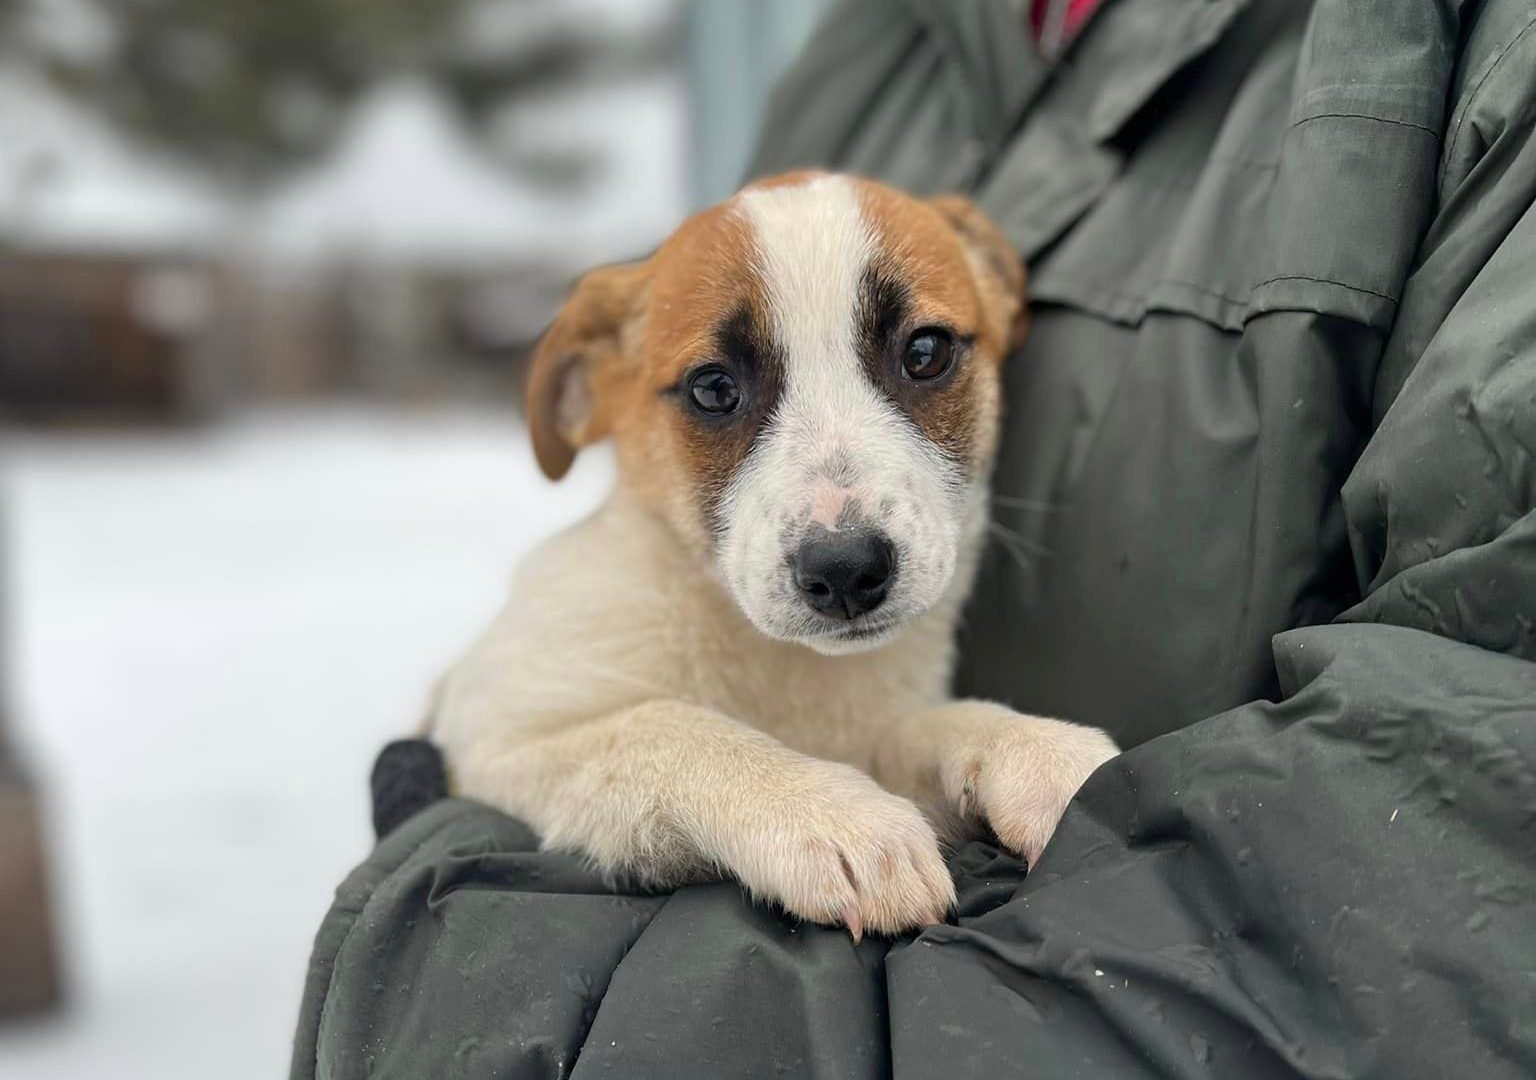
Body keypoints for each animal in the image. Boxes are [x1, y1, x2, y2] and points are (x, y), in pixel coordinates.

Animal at [433, 168, 1118, 940]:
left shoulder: (868, 728)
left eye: (926, 352)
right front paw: (832, 814)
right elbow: (670, 726)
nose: (846, 570)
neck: (778, 665)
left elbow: (924, 725)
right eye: (713, 388)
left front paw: (1036, 750)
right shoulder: (493, 730)